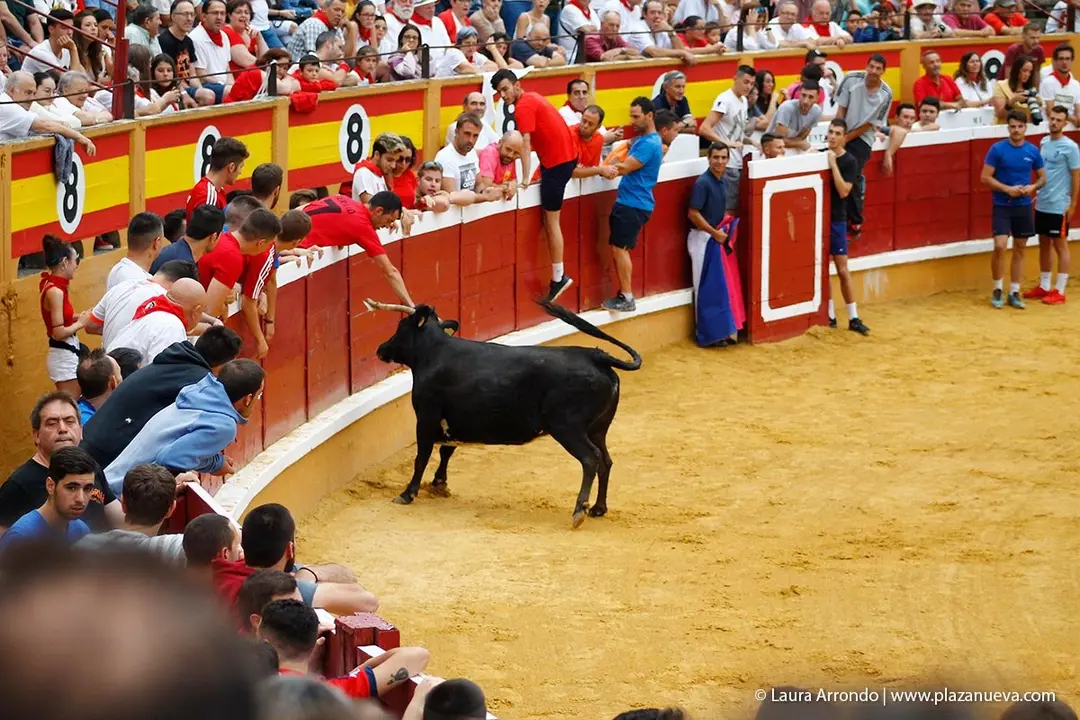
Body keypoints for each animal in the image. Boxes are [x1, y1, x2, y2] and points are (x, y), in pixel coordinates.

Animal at [365, 297, 642, 528]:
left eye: (401, 327)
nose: (380, 349)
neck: (433, 353)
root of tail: (597, 356)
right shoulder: (454, 419)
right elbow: (447, 449)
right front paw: (438, 484)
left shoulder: (426, 416)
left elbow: (422, 456)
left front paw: (407, 494)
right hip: (598, 428)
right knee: (606, 460)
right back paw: (598, 508)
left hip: (568, 428)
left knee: (590, 459)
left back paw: (579, 511)